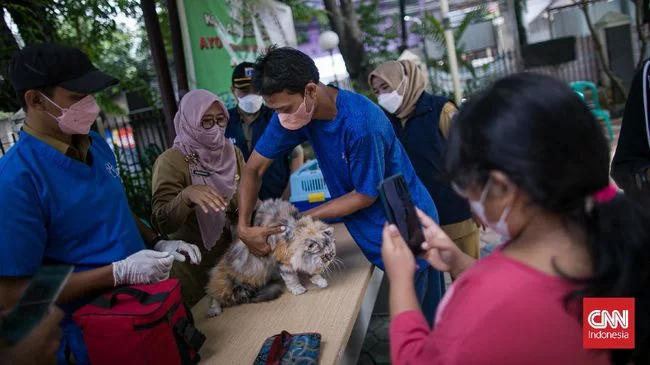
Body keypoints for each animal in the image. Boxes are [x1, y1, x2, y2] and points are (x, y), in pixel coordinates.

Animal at [205, 199, 336, 316]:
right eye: (324, 256)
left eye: (332, 253)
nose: (330, 259)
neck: (296, 229)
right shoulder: (284, 261)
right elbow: (291, 278)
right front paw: (298, 289)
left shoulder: (299, 260)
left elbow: (310, 272)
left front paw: (320, 281)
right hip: (236, 286)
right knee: (213, 295)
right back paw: (214, 310)